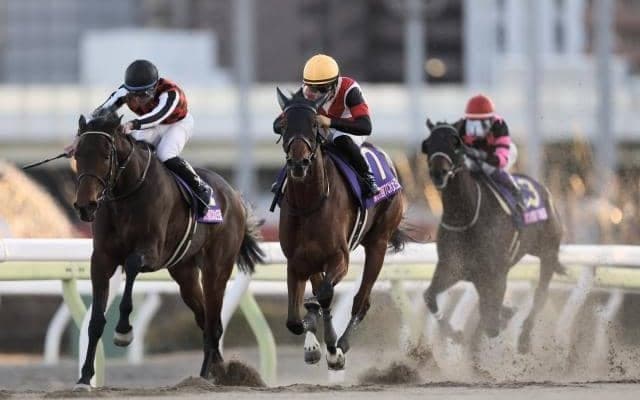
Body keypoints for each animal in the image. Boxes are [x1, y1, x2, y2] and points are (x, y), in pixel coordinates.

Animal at [72, 111, 265, 387]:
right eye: (77, 155)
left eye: (106, 156)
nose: (85, 206)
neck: (127, 193)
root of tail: (234, 196)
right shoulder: (101, 260)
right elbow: (96, 320)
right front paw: (85, 377)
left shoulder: (152, 253)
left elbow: (131, 265)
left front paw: (123, 331)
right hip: (185, 275)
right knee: (204, 319)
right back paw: (214, 372)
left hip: (216, 268)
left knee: (213, 323)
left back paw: (210, 376)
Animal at [274, 88, 411, 371]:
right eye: (283, 124)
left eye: (315, 124)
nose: (299, 164)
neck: (309, 203)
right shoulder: (296, 261)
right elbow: (295, 319)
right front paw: (312, 340)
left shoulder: (339, 256)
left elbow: (326, 295)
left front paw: (333, 348)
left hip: (378, 242)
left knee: (361, 300)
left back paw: (343, 343)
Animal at [420, 120, 565, 353]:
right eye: (427, 144)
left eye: (455, 144)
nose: (438, 173)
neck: (466, 216)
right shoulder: (452, 267)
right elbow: (429, 296)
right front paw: (456, 334)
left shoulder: (496, 272)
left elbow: (490, 321)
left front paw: (502, 318)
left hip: (548, 252)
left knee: (540, 296)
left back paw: (524, 338)